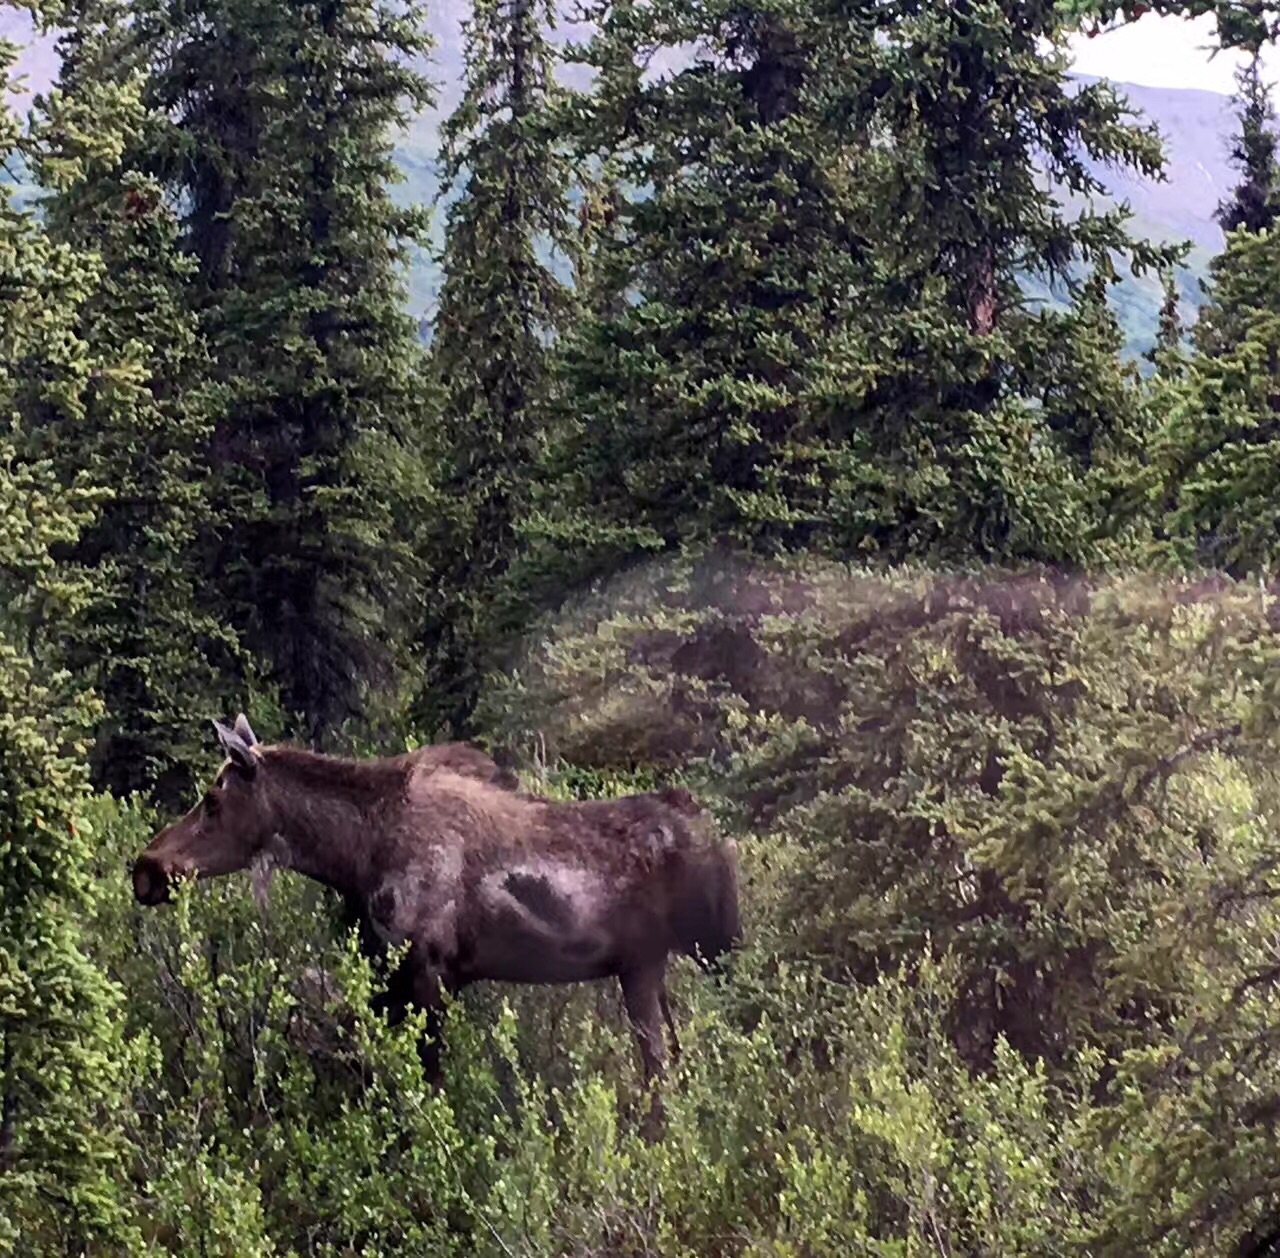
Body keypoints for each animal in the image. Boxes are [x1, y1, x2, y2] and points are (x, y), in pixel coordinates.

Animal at [132, 711, 742, 1126]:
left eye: (212, 800)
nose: (146, 867)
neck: (353, 854)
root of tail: (713, 832)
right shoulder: (398, 975)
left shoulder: (431, 970)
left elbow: (427, 1087)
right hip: (648, 966)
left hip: (706, 951)